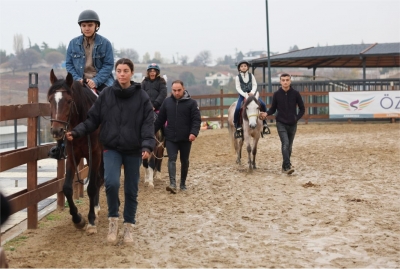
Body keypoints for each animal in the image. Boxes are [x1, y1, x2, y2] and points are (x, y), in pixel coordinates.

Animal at [47, 69, 104, 232]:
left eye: (69, 101)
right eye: (50, 100)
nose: (57, 131)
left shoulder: (95, 155)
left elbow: (91, 187)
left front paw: (91, 220)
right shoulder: (73, 156)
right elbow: (67, 188)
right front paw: (77, 219)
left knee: (99, 180)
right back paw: (96, 207)